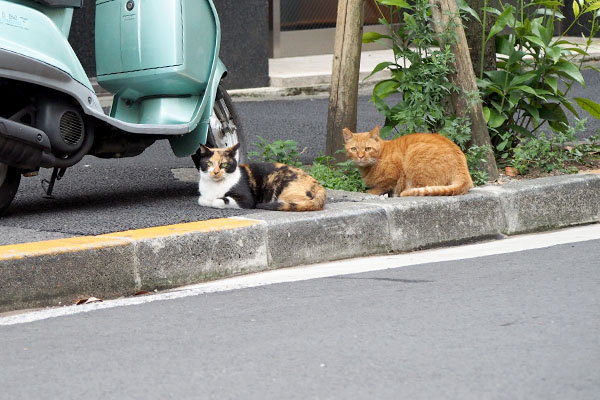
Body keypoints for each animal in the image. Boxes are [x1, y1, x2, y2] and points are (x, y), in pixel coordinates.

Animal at [197, 144, 326, 212]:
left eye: (224, 165)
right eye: (209, 163)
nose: (215, 172)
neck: (215, 186)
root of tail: (317, 183)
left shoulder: (246, 200)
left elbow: (219, 201)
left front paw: (214, 201)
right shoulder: (203, 196)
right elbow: (201, 200)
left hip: (286, 189)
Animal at [342, 126, 474, 196]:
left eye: (368, 149)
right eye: (354, 149)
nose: (360, 156)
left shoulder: (394, 175)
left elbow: (383, 186)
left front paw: (373, 191)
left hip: (413, 152)